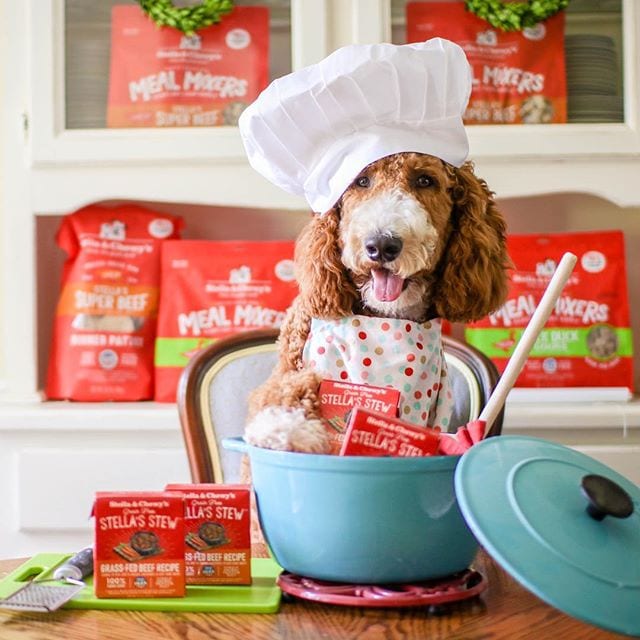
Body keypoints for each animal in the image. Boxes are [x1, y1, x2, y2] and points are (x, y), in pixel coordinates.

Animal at [245, 152, 510, 452]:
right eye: (362, 181)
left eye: (425, 180)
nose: (382, 245)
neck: (383, 321)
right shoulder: (289, 369)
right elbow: (281, 390)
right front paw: (286, 429)